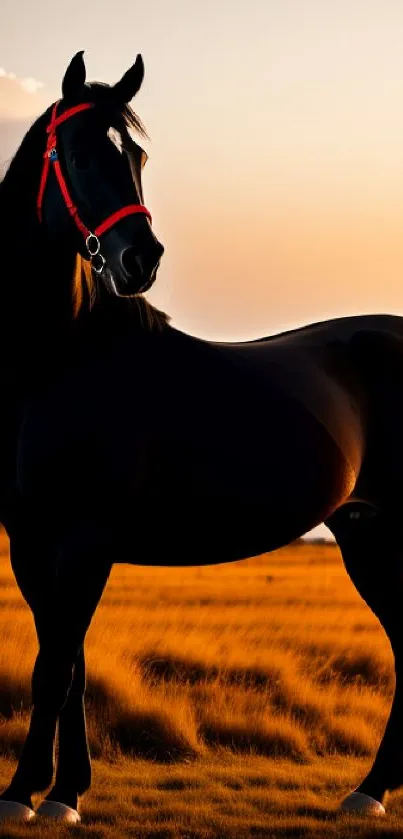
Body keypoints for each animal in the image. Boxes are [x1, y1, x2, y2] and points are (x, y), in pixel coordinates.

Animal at [0, 50, 400, 820]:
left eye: (136, 156)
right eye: (80, 152)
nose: (140, 259)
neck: (62, 359)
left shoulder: (84, 540)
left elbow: (54, 667)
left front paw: (25, 794)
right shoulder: (35, 541)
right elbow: (68, 661)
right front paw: (66, 791)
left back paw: (369, 791)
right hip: (368, 535)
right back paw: (367, 791)